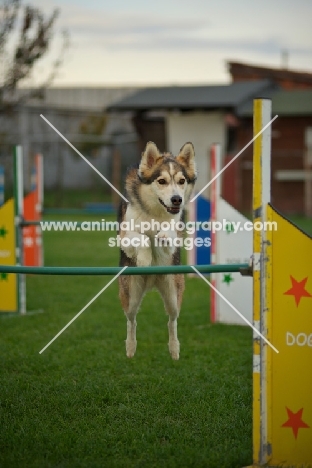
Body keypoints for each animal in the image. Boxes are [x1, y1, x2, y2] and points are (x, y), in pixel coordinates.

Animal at [118, 141, 196, 360]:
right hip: (131, 294)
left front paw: (162, 235)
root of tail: (152, 282)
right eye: (161, 181)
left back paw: (174, 349)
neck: (156, 212)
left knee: (172, 320)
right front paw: (144, 259)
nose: (177, 199)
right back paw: (130, 348)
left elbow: (168, 234)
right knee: (131, 320)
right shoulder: (123, 238)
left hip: (173, 293)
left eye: (181, 181)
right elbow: (142, 237)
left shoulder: (176, 234)